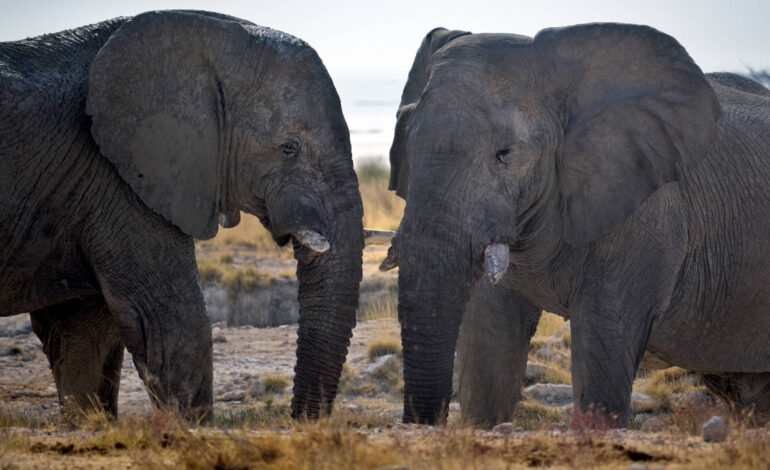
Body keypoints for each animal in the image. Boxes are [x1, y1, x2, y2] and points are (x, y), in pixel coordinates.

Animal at [383, 24, 770, 427]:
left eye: (505, 154)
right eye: (406, 142)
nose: (421, 423)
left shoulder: (646, 215)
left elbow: (604, 348)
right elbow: (489, 342)